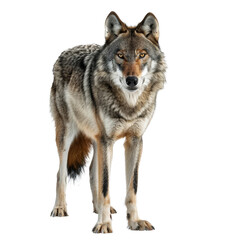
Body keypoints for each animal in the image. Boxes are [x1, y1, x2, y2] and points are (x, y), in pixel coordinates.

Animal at [49, 10, 166, 232]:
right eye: (120, 55)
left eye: (142, 55)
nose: (132, 80)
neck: (129, 106)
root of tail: (64, 52)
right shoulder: (107, 140)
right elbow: (105, 186)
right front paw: (103, 224)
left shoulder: (134, 140)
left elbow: (131, 187)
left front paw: (134, 221)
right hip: (67, 135)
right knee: (60, 173)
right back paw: (60, 208)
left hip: (96, 140)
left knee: (92, 172)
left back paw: (100, 209)